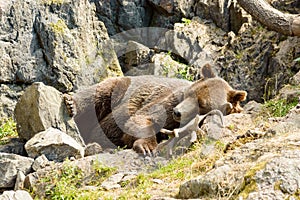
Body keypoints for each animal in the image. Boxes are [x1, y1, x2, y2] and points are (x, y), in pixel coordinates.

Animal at [63, 64, 246, 155]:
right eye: (190, 93)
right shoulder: (167, 102)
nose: (177, 112)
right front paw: (147, 147)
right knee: (98, 94)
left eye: (202, 104)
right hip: (118, 90)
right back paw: (71, 104)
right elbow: (143, 118)